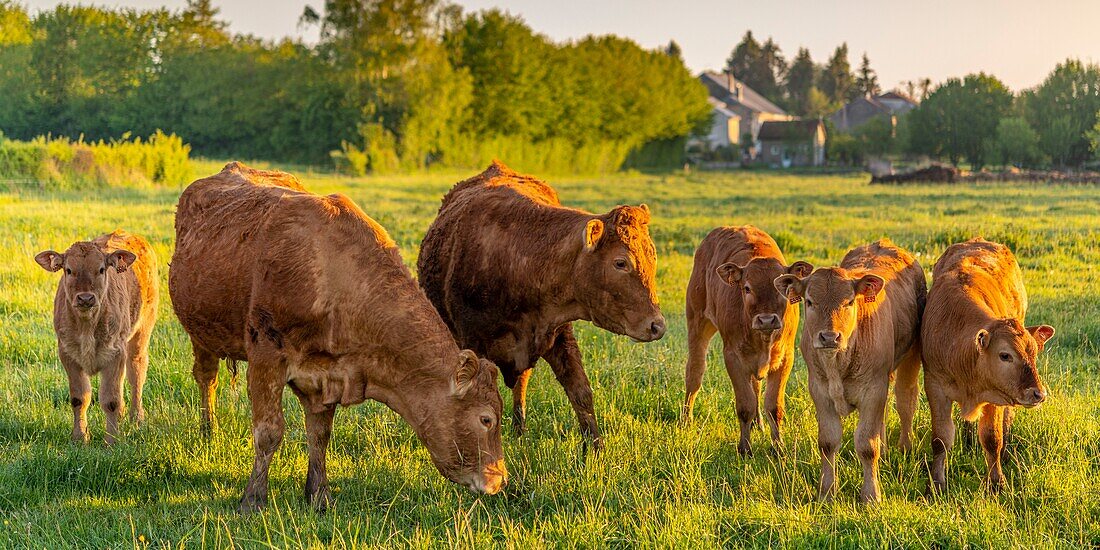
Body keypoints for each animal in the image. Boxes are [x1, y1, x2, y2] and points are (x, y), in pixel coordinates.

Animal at [34, 229, 158, 444]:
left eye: (101, 269)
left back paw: (136, 418)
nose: (85, 298)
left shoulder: (115, 353)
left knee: (136, 373)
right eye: (68, 270)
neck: (87, 327)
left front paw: (112, 440)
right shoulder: (67, 354)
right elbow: (79, 398)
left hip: (142, 332)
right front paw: (80, 437)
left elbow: (111, 400)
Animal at [168, 161, 506, 510]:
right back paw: (208, 432)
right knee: (207, 379)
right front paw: (253, 499)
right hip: (200, 333)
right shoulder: (266, 356)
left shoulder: (325, 375)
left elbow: (319, 434)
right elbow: (268, 432)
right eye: (486, 419)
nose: (498, 480)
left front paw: (319, 495)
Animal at [418, 160, 660, 451]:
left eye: (653, 255)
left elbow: (580, 390)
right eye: (621, 262)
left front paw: (595, 447)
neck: (520, 260)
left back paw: (519, 428)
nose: (657, 325)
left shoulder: (559, 335)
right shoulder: (473, 342)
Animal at [682, 224, 814, 455]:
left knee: (756, 387)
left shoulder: (785, 358)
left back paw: (758, 423)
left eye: (782, 288)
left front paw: (778, 447)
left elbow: (773, 406)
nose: (766, 319)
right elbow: (745, 406)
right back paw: (686, 419)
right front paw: (744, 448)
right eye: (747, 288)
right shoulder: (733, 357)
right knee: (694, 372)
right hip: (697, 321)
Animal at [919, 238, 1056, 492]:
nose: (1038, 394)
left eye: (1033, 354)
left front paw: (996, 482)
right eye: (1005, 355)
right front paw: (937, 482)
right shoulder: (935, 387)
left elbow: (992, 439)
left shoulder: (996, 395)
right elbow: (941, 439)